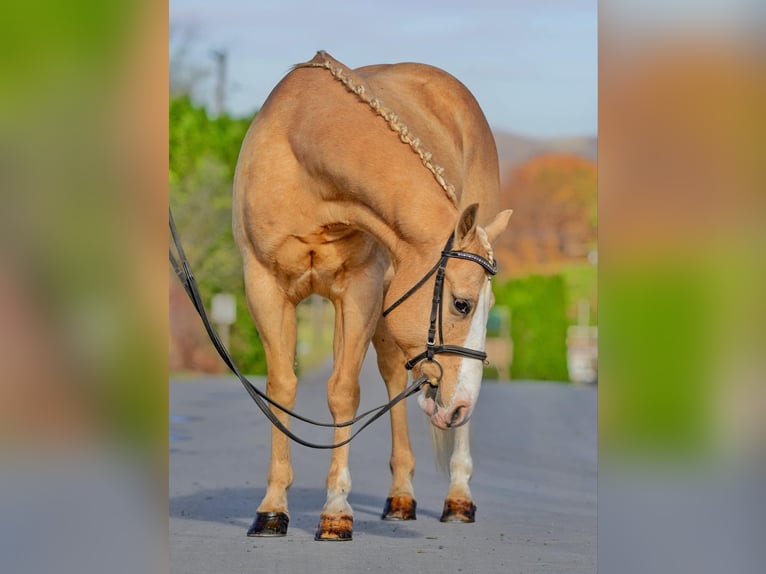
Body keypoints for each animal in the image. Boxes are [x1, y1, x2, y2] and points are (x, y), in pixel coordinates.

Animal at [231, 51, 512, 544]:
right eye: (461, 304)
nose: (461, 406)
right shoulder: (264, 287)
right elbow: (281, 388)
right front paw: (271, 510)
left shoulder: (359, 290)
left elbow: (343, 393)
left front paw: (335, 512)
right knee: (395, 376)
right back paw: (401, 498)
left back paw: (457, 499)